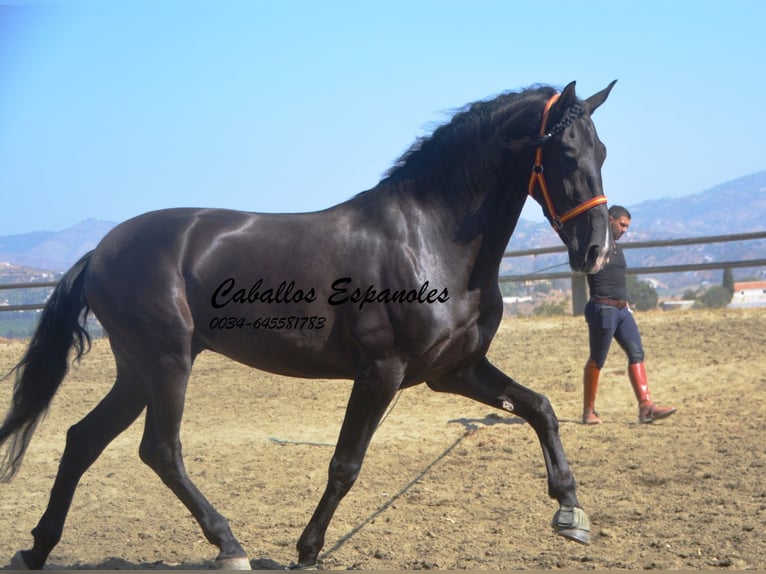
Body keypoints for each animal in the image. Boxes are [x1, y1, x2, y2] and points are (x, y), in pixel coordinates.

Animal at [0, 81, 616, 572]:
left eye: (603, 150)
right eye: (565, 152)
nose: (595, 250)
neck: (428, 238)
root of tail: (99, 253)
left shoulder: (454, 370)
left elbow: (539, 407)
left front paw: (570, 511)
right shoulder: (382, 372)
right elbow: (345, 464)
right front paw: (308, 550)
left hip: (136, 370)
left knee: (83, 439)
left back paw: (37, 548)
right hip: (166, 362)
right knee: (160, 450)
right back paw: (229, 546)